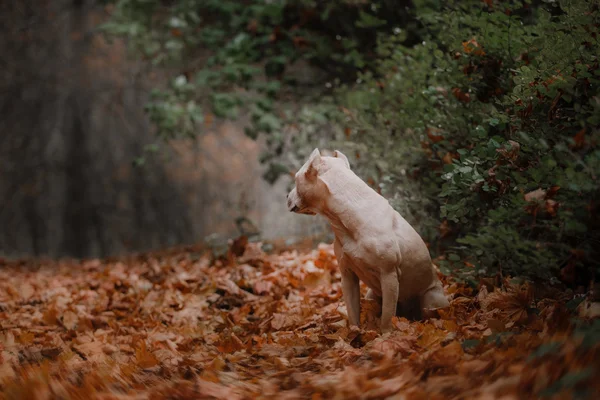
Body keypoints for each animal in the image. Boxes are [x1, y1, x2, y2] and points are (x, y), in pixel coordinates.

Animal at [288, 148, 450, 332]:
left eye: (296, 179)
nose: (287, 195)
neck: (343, 218)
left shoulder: (388, 276)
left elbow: (387, 317)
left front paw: (386, 335)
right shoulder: (348, 276)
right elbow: (353, 311)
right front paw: (354, 333)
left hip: (431, 299)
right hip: (372, 295)